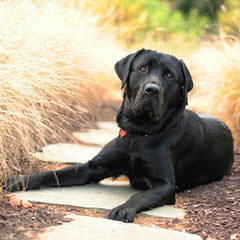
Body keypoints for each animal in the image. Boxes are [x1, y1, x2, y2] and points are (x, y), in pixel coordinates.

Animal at [6, 48, 234, 223]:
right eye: (142, 69)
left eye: (170, 76)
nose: (152, 90)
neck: (139, 133)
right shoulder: (94, 167)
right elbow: (53, 173)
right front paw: (17, 180)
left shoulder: (166, 184)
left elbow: (139, 196)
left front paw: (123, 209)